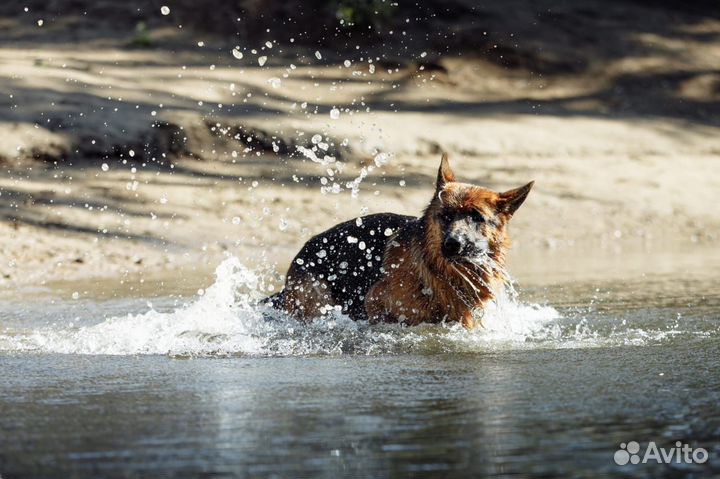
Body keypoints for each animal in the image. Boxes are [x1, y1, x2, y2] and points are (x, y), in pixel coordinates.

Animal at [262, 156, 532, 328]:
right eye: (445, 216)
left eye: (476, 217)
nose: (452, 244)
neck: (439, 272)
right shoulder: (375, 303)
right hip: (319, 300)